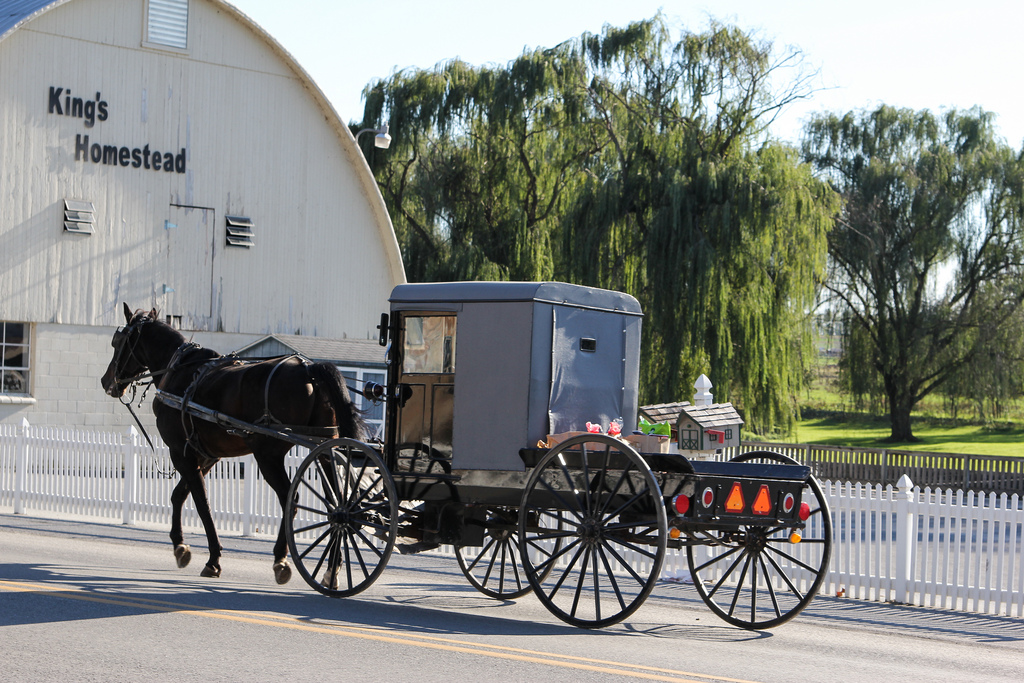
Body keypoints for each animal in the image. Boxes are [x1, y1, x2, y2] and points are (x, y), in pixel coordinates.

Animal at [101, 305, 366, 581]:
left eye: (117, 342)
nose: (106, 381)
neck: (179, 372)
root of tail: (308, 370)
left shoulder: (181, 453)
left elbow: (201, 503)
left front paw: (212, 558)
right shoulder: (206, 455)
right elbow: (179, 495)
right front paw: (180, 546)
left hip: (268, 455)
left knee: (289, 499)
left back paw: (281, 559)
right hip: (325, 448)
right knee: (337, 503)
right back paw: (332, 567)